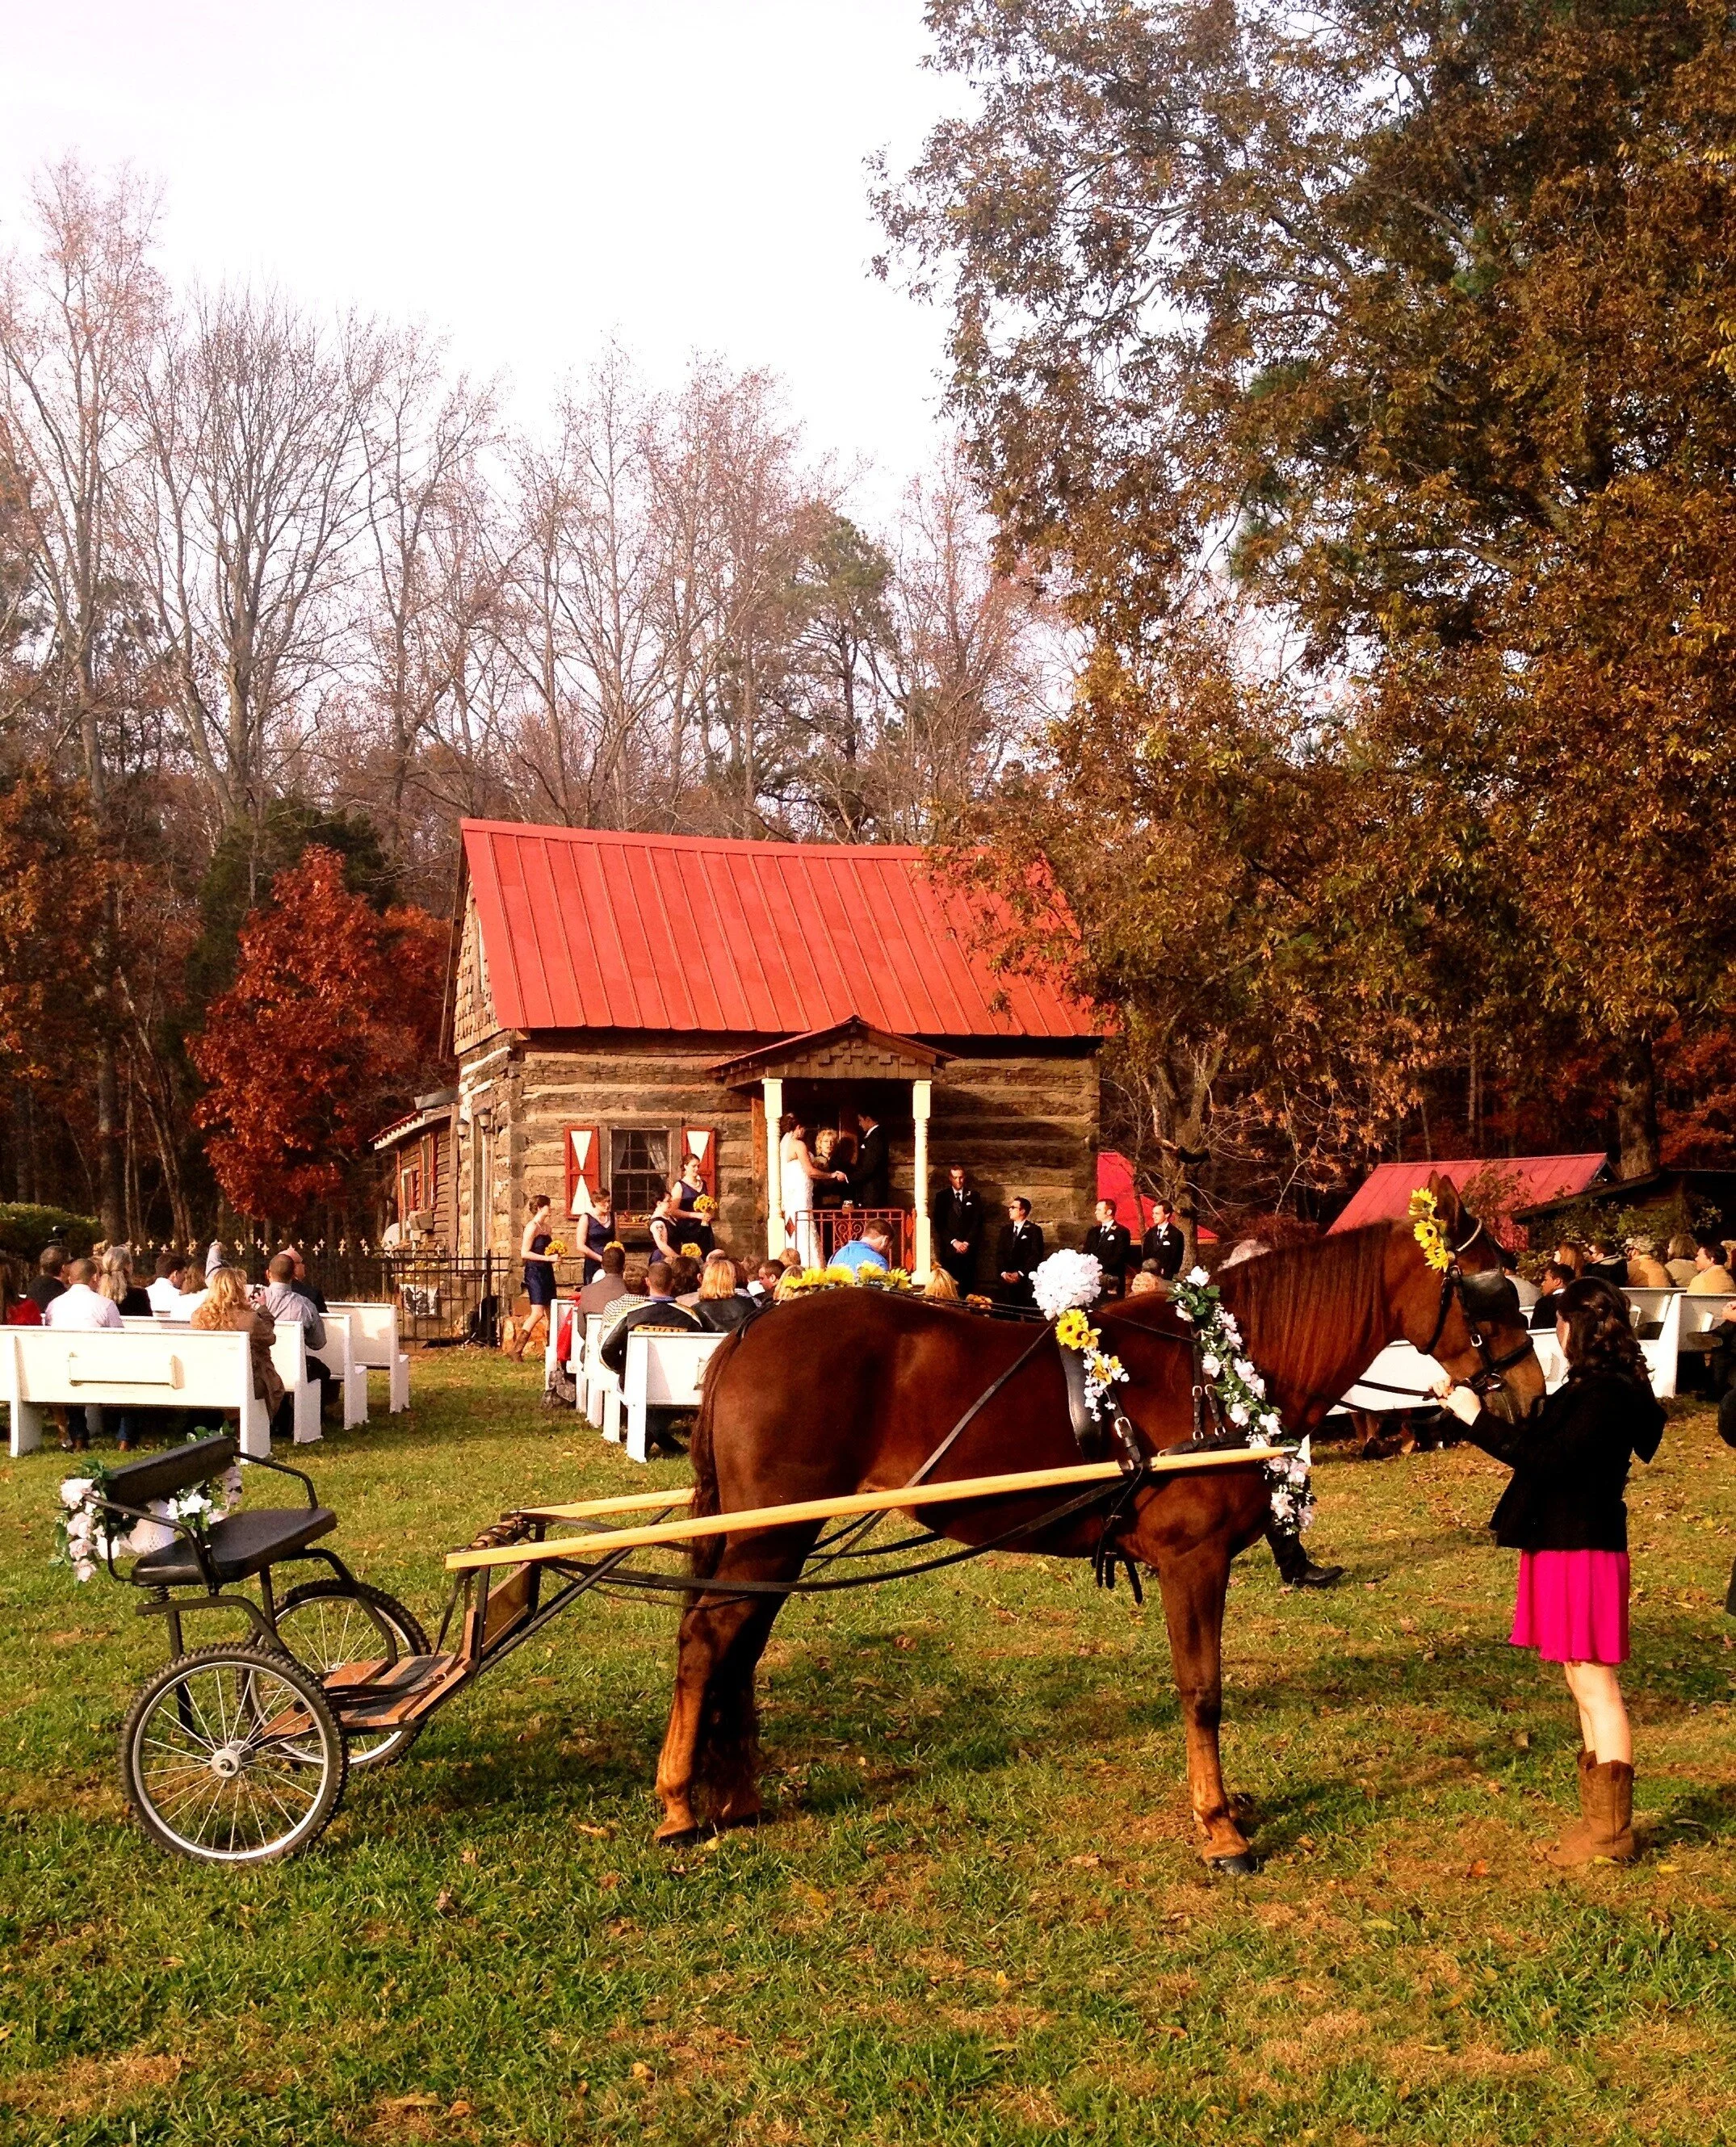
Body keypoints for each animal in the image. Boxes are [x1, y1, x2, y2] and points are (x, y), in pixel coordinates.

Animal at [653, 1172, 1544, 1871]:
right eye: (1488, 1288)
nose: (1534, 1392)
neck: (1218, 1369)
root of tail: (753, 1330)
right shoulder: (1193, 1560)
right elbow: (1202, 1689)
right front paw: (1218, 1826)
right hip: (772, 1532)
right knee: (707, 1639)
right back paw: (678, 1803)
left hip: (775, 1538)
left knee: (736, 1645)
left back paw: (736, 1795)